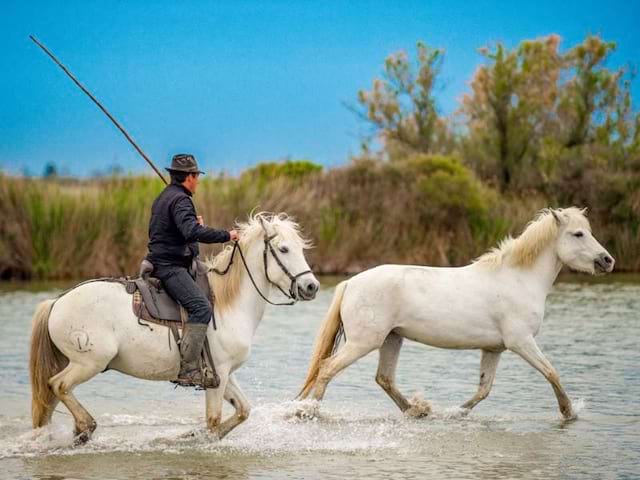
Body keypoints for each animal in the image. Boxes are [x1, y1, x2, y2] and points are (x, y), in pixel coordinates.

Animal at [30, 214, 320, 442]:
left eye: (300, 248)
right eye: (283, 249)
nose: (311, 287)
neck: (227, 304)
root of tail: (57, 302)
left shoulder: (223, 373)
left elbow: (242, 410)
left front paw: (189, 435)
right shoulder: (219, 372)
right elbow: (214, 421)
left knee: (49, 396)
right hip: (88, 363)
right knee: (58, 386)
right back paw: (84, 426)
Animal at [300, 207, 616, 420]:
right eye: (578, 234)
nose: (607, 260)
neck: (518, 279)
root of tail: (351, 282)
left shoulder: (494, 349)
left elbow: (483, 390)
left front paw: (455, 413)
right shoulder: (521, 342)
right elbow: (552, 372)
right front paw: (569, 412)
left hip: (391, 339)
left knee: (384, 379)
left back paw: (417, 411)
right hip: (364, 342)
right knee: (327, 370)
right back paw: (310, 412)